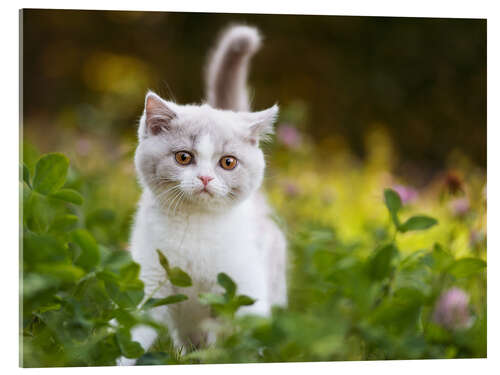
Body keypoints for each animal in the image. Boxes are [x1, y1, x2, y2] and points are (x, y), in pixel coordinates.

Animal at [117, 25, 288, 366]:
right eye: (184, 157)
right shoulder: (151, 278)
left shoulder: (243, 285)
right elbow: (133, 329)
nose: (206, 178)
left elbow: (242, 336)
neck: (195, 225)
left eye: (228, 162)